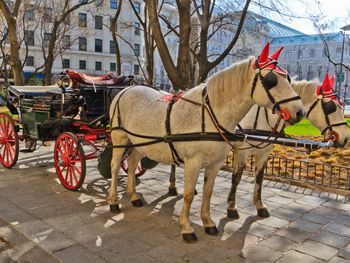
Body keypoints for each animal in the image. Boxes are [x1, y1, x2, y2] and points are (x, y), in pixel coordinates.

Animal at [108, 43, 304, 243]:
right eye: (271, 80)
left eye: (288, 78)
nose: (299, 112)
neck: (211, 115)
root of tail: (126, 89)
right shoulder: (193, 162)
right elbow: (188, 195)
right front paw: (186, 228)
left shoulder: (216, 163)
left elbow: (208, 192)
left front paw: (208, 222)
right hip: (119, 138)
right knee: (115, 166)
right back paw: (114, 201)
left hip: (139, 142)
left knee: (132, 164)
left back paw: (133, 197)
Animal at [226, 73, 348, 220]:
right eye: (330, 107)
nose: (346, 138)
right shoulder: (242, 151)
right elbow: (236, 178)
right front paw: (231, 207)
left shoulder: (263, 152)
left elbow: (259, 178)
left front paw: (260, 206)